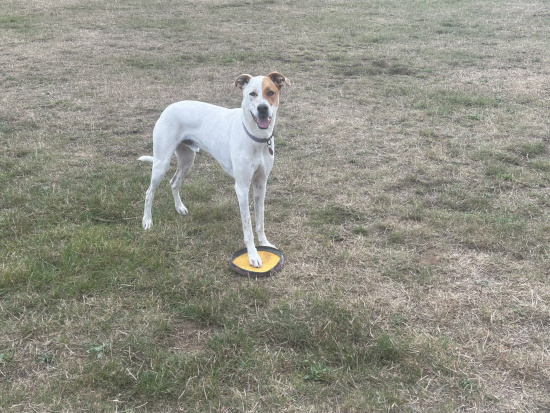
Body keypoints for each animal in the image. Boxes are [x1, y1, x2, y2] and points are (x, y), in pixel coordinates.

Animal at [139, 72, 290, 268]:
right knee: (149, 192)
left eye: (270, 92)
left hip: (187, 160)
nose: (263, 108)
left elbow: (260, 221)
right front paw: (253, 255)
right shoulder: (241, 187)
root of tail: (168, 108)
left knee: (174, 182)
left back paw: (180, 208)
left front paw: (265, 244)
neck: (257, 138)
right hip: (161, 163)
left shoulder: (260, 183)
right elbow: (247, 225)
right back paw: (147, 221)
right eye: (252, 94)